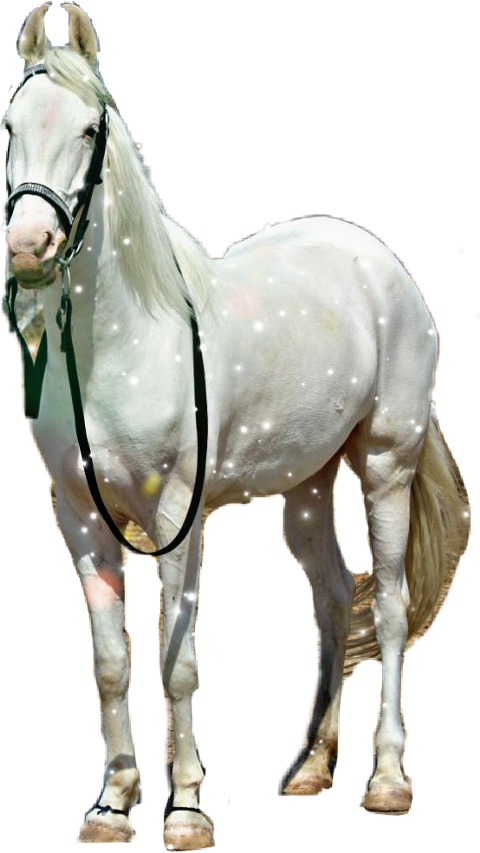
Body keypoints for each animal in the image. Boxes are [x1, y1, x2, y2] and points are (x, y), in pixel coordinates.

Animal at [2, 4, 467, 847]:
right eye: (11, 125)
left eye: (88, 129)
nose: (28, 248)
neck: (126, 342)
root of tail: (379, 262)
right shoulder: (80, 520)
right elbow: (112, 664)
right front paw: (112, 806)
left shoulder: (176, 517)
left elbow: (176, 662)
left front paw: (186, 811)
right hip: (308, 487)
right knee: (332, 599)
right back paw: (310, 767)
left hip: (386, 463)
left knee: (386, 604)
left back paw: (385, 780)